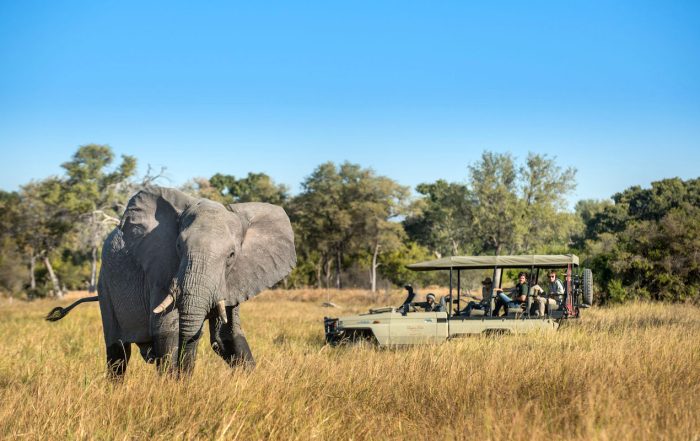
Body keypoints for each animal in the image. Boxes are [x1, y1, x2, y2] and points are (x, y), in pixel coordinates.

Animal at [48, 186, 296, 378]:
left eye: (231, 256)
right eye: (178, 246)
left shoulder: (235, 279)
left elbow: (229, 335)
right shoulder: (160, 270)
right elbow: (167, 330)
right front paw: (173, 388)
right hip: (105, 284)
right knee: (118, 352)